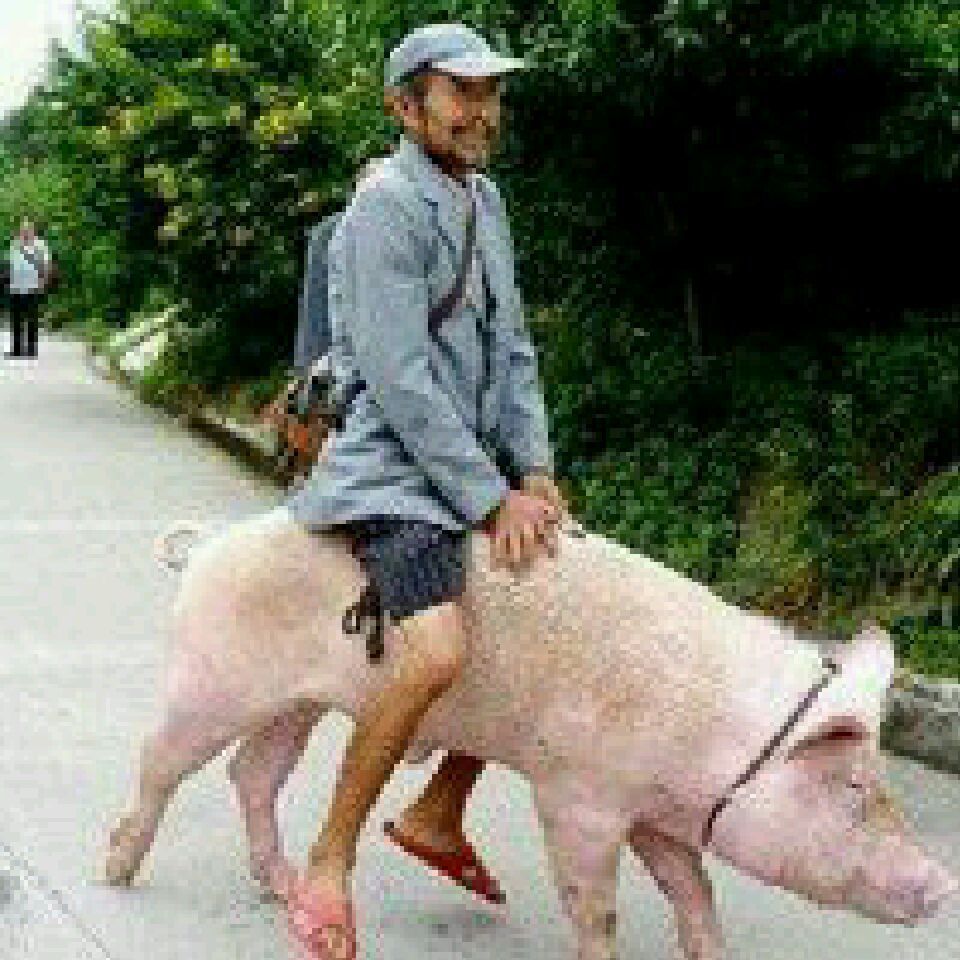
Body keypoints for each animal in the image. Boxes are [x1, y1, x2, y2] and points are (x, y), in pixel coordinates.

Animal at [103, 504, 957, 960]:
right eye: (854, 787)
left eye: (883, 786)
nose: (944, 883)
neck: (716, 741)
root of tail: (210, 543)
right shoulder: (580, 795)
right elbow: (595, 900)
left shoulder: (659, 814)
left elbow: (694, 888)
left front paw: (711, 951)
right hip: (213, 679)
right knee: (162, 759)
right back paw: (118, 870)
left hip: (297, 704)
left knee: (255, 773)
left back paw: (279, 887)